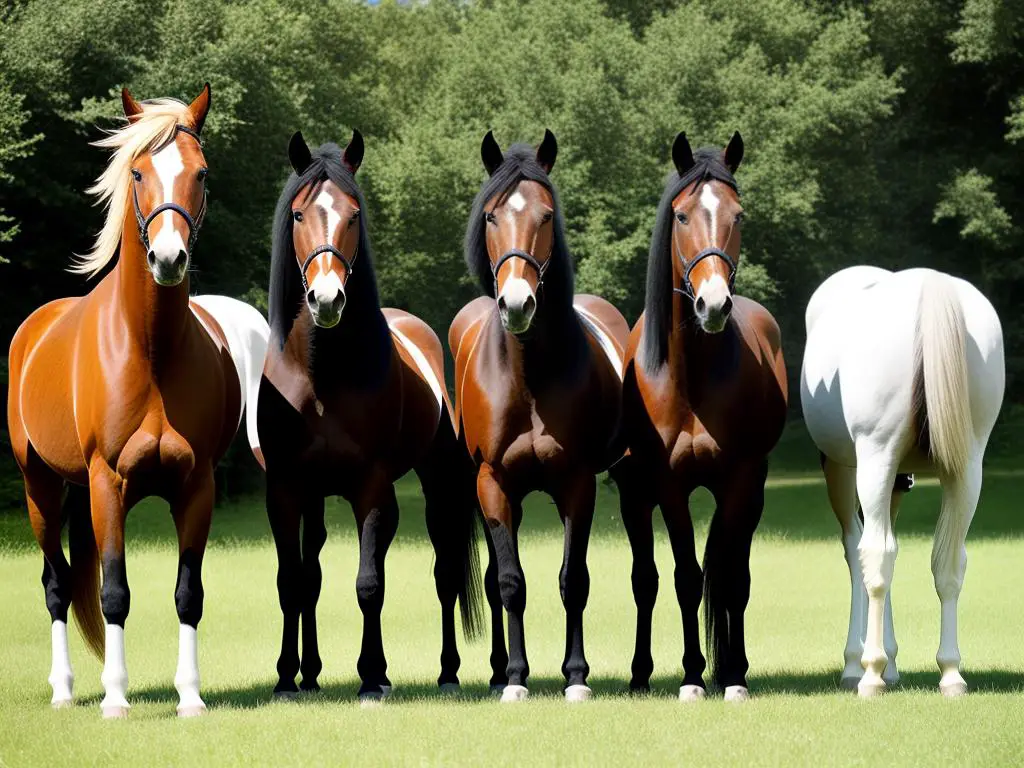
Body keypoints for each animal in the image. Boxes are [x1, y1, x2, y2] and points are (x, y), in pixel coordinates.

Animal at [7, 87, 268, 720]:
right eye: (138, 172)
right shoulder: (108, 483)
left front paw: (191, 696)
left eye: (201, 173)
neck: (149, 350)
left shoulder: (196, 487)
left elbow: (188, 593)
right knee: (56, 586)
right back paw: (65, 690)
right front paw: (116, 698)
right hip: (39, 487)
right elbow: (114, 592)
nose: (169, 259)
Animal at [452, 131, 626, 704]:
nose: (517, 303)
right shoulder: (493, 484)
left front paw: (576, 676)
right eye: (491, 216)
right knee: (494, 579)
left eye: (546, 215)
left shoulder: (577, 483)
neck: (528, 375)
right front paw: (515, 678)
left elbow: (574, 580)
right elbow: (510, 582)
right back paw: (496, 671)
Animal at [610, 134, 786, 704]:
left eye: (738, 214)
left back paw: (735, 664)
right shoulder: (667, 485)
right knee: (647, 579)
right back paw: (642, 673)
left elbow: (729, 580)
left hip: (751, 493)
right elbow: (686, 577)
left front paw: (731, 676)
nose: (713, 304)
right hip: (635, 496)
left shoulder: (738, 480)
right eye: (683, 215)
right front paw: (691, 675)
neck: (691, 377)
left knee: (734, 572)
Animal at [798, 268, 999, 700]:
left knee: (876, 549)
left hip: (886, 475)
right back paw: (859, 665)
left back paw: (880, 664)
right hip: (851, 469)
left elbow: (947, 563)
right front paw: (871, 671)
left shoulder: (965, 472)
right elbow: (876, 558)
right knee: (861, 550)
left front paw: (950, 672)